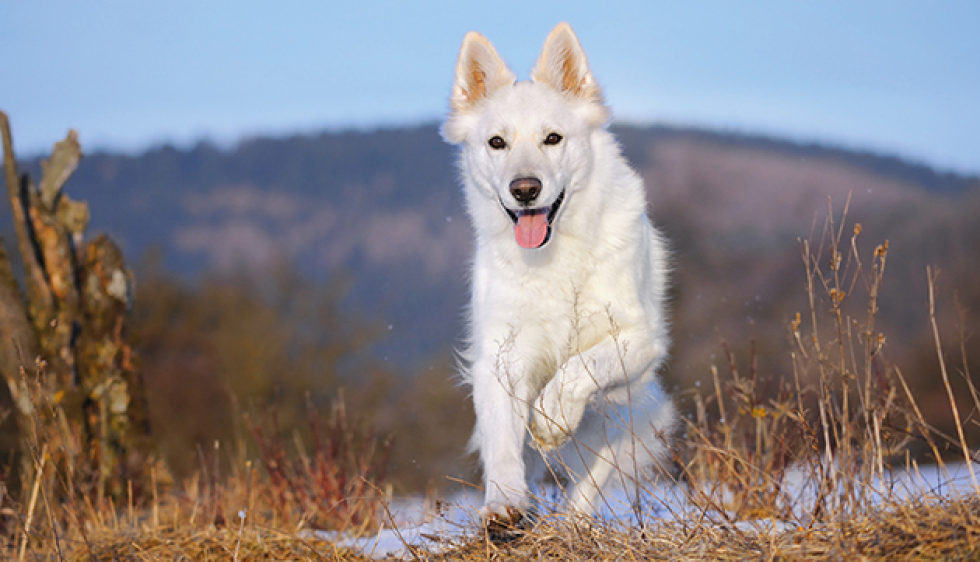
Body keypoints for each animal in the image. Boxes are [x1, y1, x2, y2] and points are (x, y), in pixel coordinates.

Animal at [442, 23, 672, 528]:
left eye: (553, 138)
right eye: (497, 143)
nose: (525, 190)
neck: (554, 256)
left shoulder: (640, 339)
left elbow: (581, 366)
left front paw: (551, 418)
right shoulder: (501, 355)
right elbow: (504, 443)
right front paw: (505, 503)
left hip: (619, 418)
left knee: (589, 485)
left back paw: (574, 525)